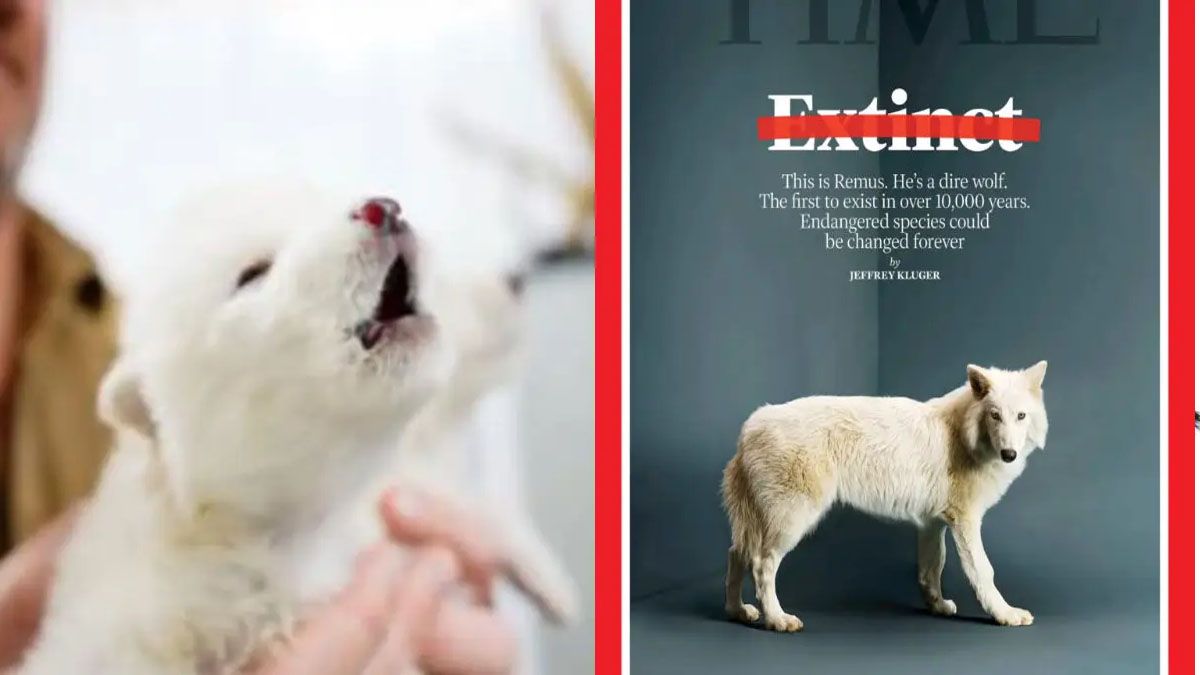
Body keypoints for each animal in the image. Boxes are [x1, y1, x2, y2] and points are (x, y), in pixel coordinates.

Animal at [721, 361, 1048, 632]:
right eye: (995, 415)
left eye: (1021, 416)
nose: (1009, 454)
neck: (962, 435)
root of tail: (750, 427)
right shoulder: (965, 522)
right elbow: (983, 571)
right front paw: (1006, 614)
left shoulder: (932, 524)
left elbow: (932, 568)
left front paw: (938, 606)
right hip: (792, 522)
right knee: (761, 564)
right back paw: (777, 619)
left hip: (757, 523)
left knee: (736, 554)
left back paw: (738, 612)